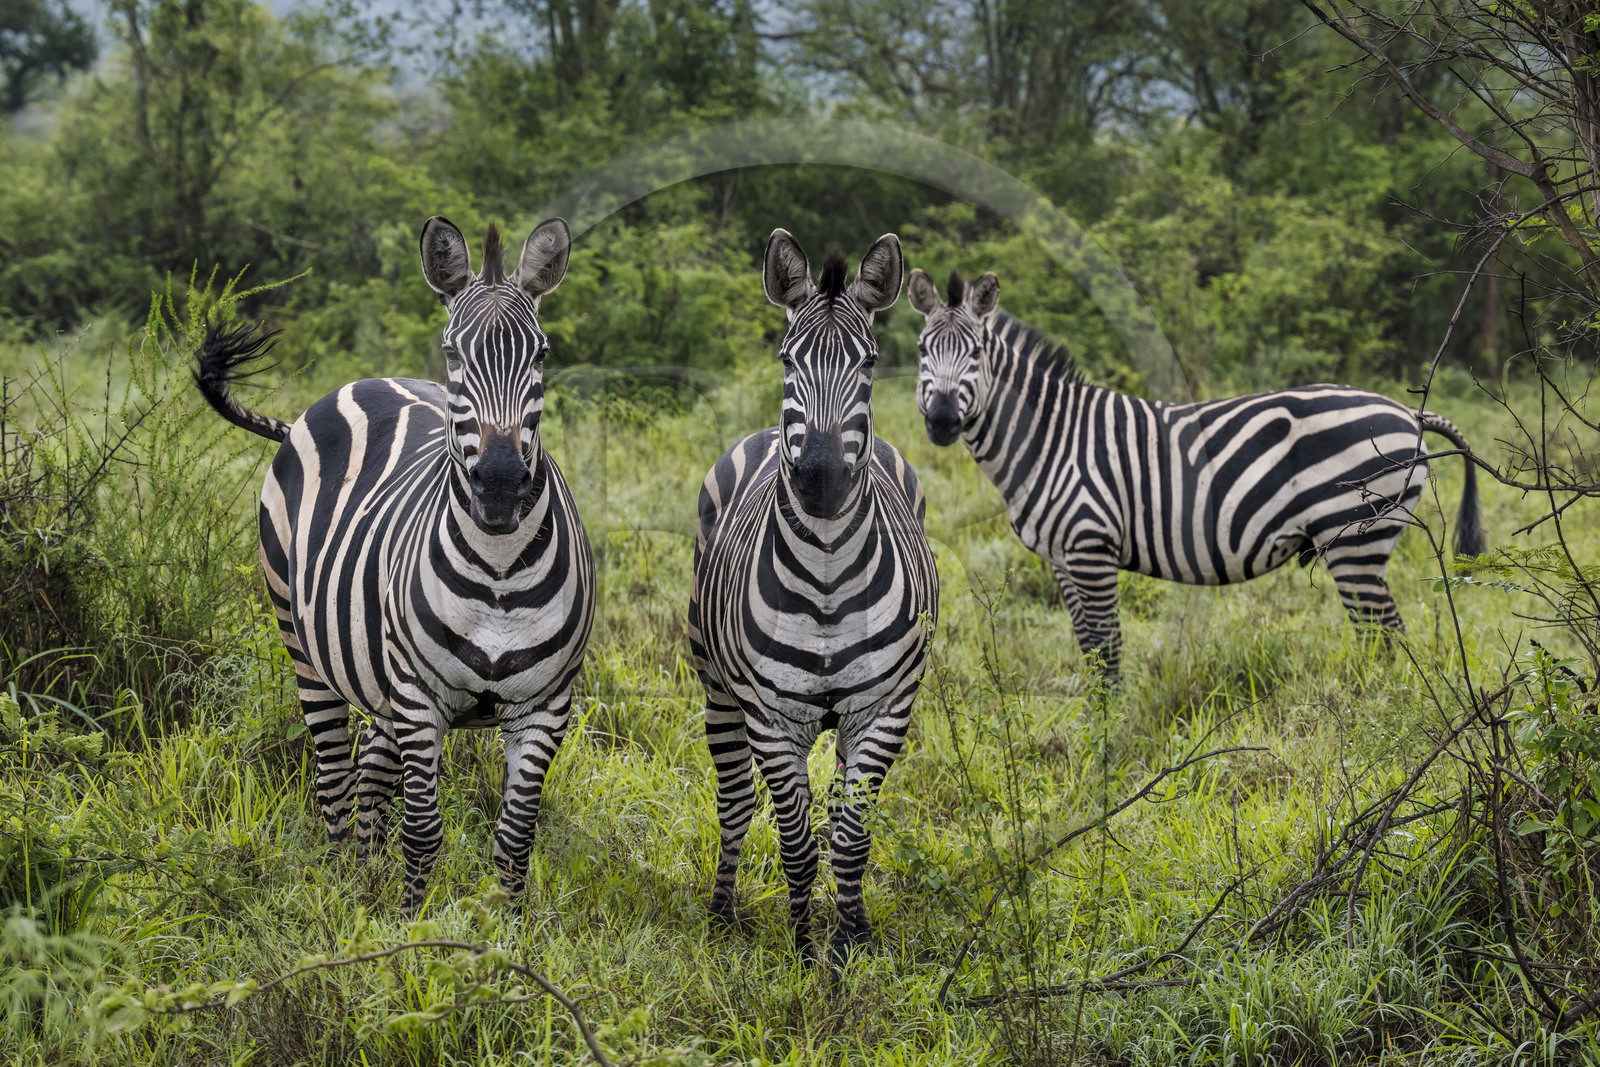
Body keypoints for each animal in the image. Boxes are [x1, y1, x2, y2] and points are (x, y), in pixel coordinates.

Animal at [195, 217, 595, 913]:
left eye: (542, 354)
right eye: (453, 354)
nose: (499, 485)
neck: (499, 574)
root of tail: (360, 384)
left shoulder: (547, 704)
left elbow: (516, 836)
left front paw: (509, 932)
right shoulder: (419, 696)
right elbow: (425, 829)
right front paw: (411, 926)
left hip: (380, 675)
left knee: (370, 773)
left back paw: (367, 875)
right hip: (304, 643)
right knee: (334, 774)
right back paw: (340, 889)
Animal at [687, 230, 939, 965]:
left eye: (871, 361)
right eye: (786, 357)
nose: (821, 478)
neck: (827, 581)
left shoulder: (884, 709)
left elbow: (851, 835)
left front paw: (849, 942)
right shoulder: (772, 719)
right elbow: (796, 843)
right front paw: (803, 950)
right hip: (718, 690)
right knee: (735, 803)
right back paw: (722, 912)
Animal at [908, 267, 1484, 680]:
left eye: (976, 352)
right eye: (920, 351)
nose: (941, 420)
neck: (1050, 439)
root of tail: (1407, 412)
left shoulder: (1091, 548)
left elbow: (1108, 647)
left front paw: (1111, 735)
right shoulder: (1061, 560)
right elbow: (1089, 649)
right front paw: (1096, 718)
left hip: (1355, 539)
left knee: (1382, 633)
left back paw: (1377, 704)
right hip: (1363, 541)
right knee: (1381, 631)